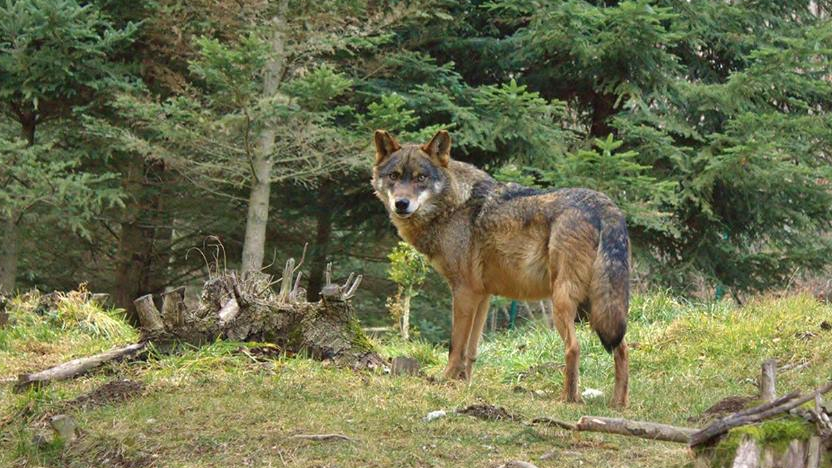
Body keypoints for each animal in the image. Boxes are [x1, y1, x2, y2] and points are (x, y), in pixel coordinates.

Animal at [372, 130, 632, 408]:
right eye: (394, 176)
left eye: (420, 178)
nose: (401, 203)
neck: (454, 205)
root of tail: (605, 205)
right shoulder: (483, 295)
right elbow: (471, 349)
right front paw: (465, 383)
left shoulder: (463, 292)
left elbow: (456, 346)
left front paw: (446, 380)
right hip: (599, 307)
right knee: (622, 347)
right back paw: (618, 403)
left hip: (562, 302)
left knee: (574, 347)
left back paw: (568, 399)